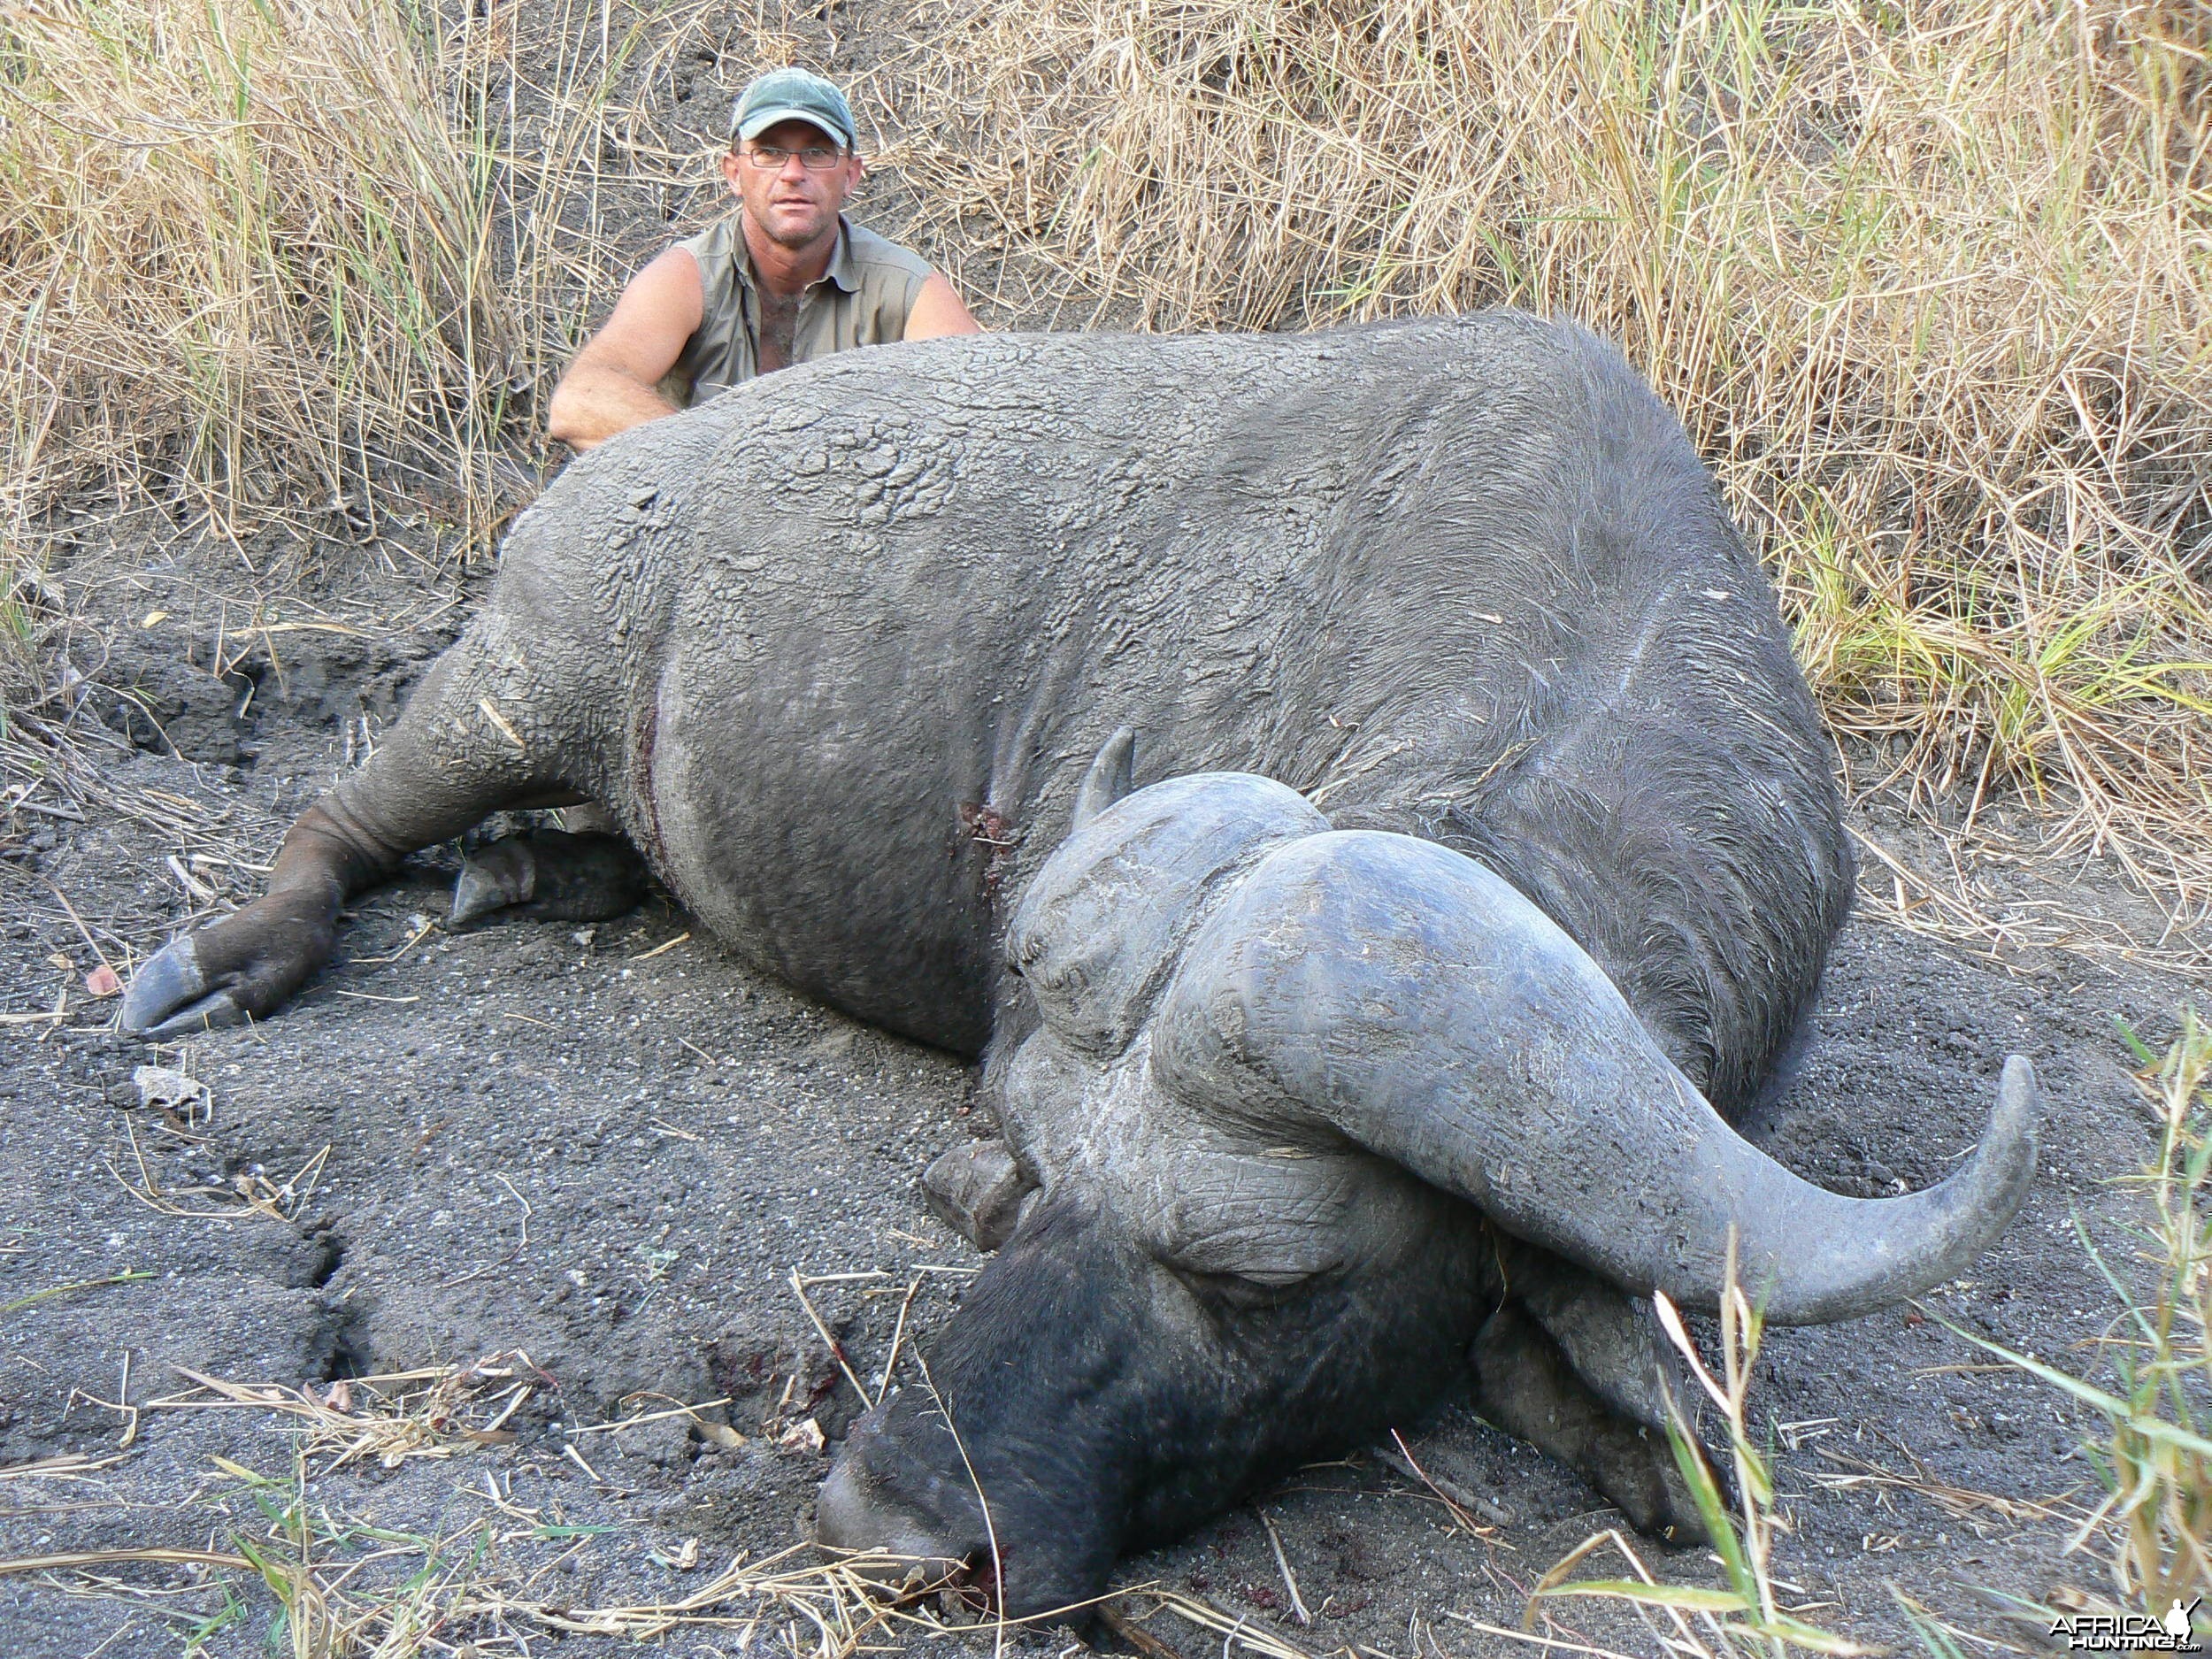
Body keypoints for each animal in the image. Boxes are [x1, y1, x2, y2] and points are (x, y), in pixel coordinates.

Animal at [125, 311, 2035, 1628]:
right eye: (1034, 1183)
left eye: (1259, 1280)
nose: (895, 1521)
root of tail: (604, 483)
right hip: (519, 676)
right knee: (348, 812)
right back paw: (236, 950)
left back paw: (533, 869)